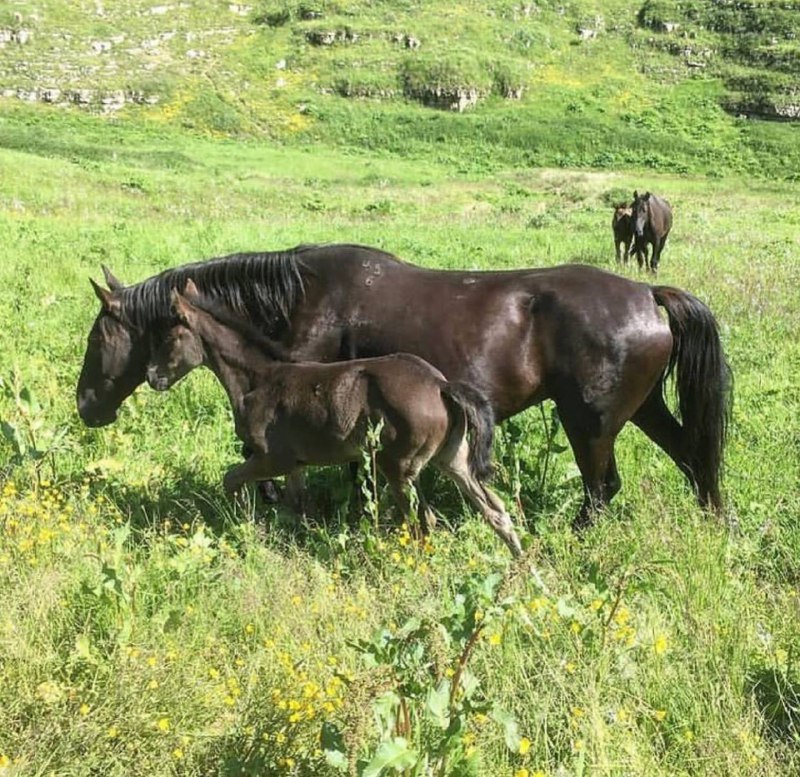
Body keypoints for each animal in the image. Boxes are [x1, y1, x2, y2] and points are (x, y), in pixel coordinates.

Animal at [78, 246, 736, 532]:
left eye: (99, 335)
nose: (86, 406)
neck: (304, 298)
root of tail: (647, 293)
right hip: (641, 409)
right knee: (693, 458)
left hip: (590, 421)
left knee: (602, 490)